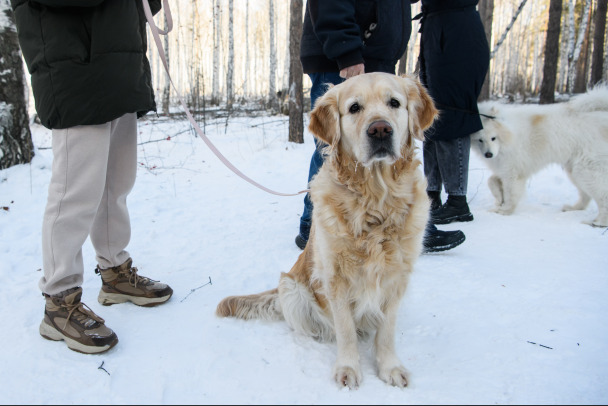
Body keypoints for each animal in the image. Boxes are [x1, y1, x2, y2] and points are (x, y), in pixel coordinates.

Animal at [216, 73, 434, 390]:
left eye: (394, 103)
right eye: (354, 108)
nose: (380, 129)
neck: (375, 198)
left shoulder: (397, 276)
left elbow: (387, 331)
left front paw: (390, 367)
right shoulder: (335, 278)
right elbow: (345, 329)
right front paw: (348, 367)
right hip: (292, 291)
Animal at [470, 85, 608, 227]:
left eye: (493, 138)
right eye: (480, 140)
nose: (488, 154)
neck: (510, 135)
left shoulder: (513, 173)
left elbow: (510, 195)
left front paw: (504, 211)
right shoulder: (505, 168)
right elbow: (491, 181)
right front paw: (498, 199)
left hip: (587, 171)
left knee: (603, 196)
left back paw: (600, 222)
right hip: (574, 171)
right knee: (585, 195)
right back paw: (574, 208)